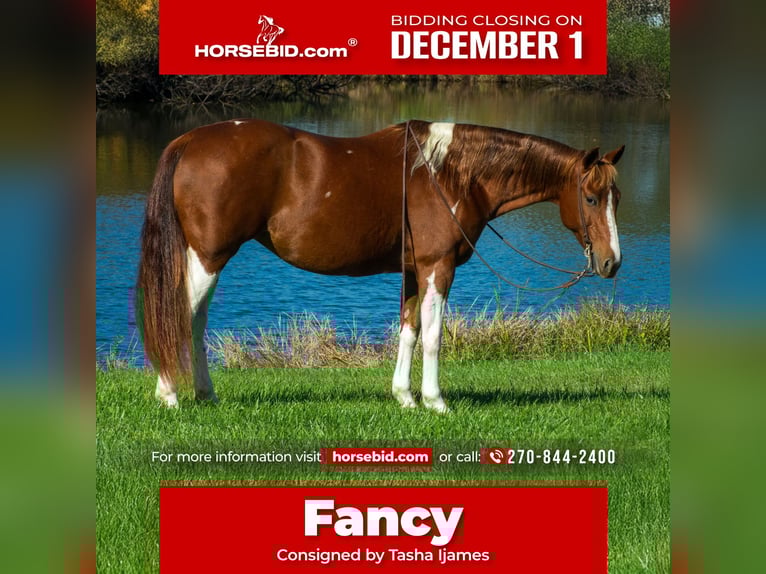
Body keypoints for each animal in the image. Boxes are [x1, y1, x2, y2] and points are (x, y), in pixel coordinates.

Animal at [136, 119, 624, 412]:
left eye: (616, 197)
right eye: (590, 198)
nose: (612, 262)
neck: (451, 173)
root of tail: (190, 140)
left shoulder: (413, 270)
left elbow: (409, 330)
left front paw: (405, 397)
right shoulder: (438, 266)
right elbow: (433, 336)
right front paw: (436, 401)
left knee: (195, 321)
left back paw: (204, 393)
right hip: (208, 257)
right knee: (179, 317)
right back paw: (171, 393)